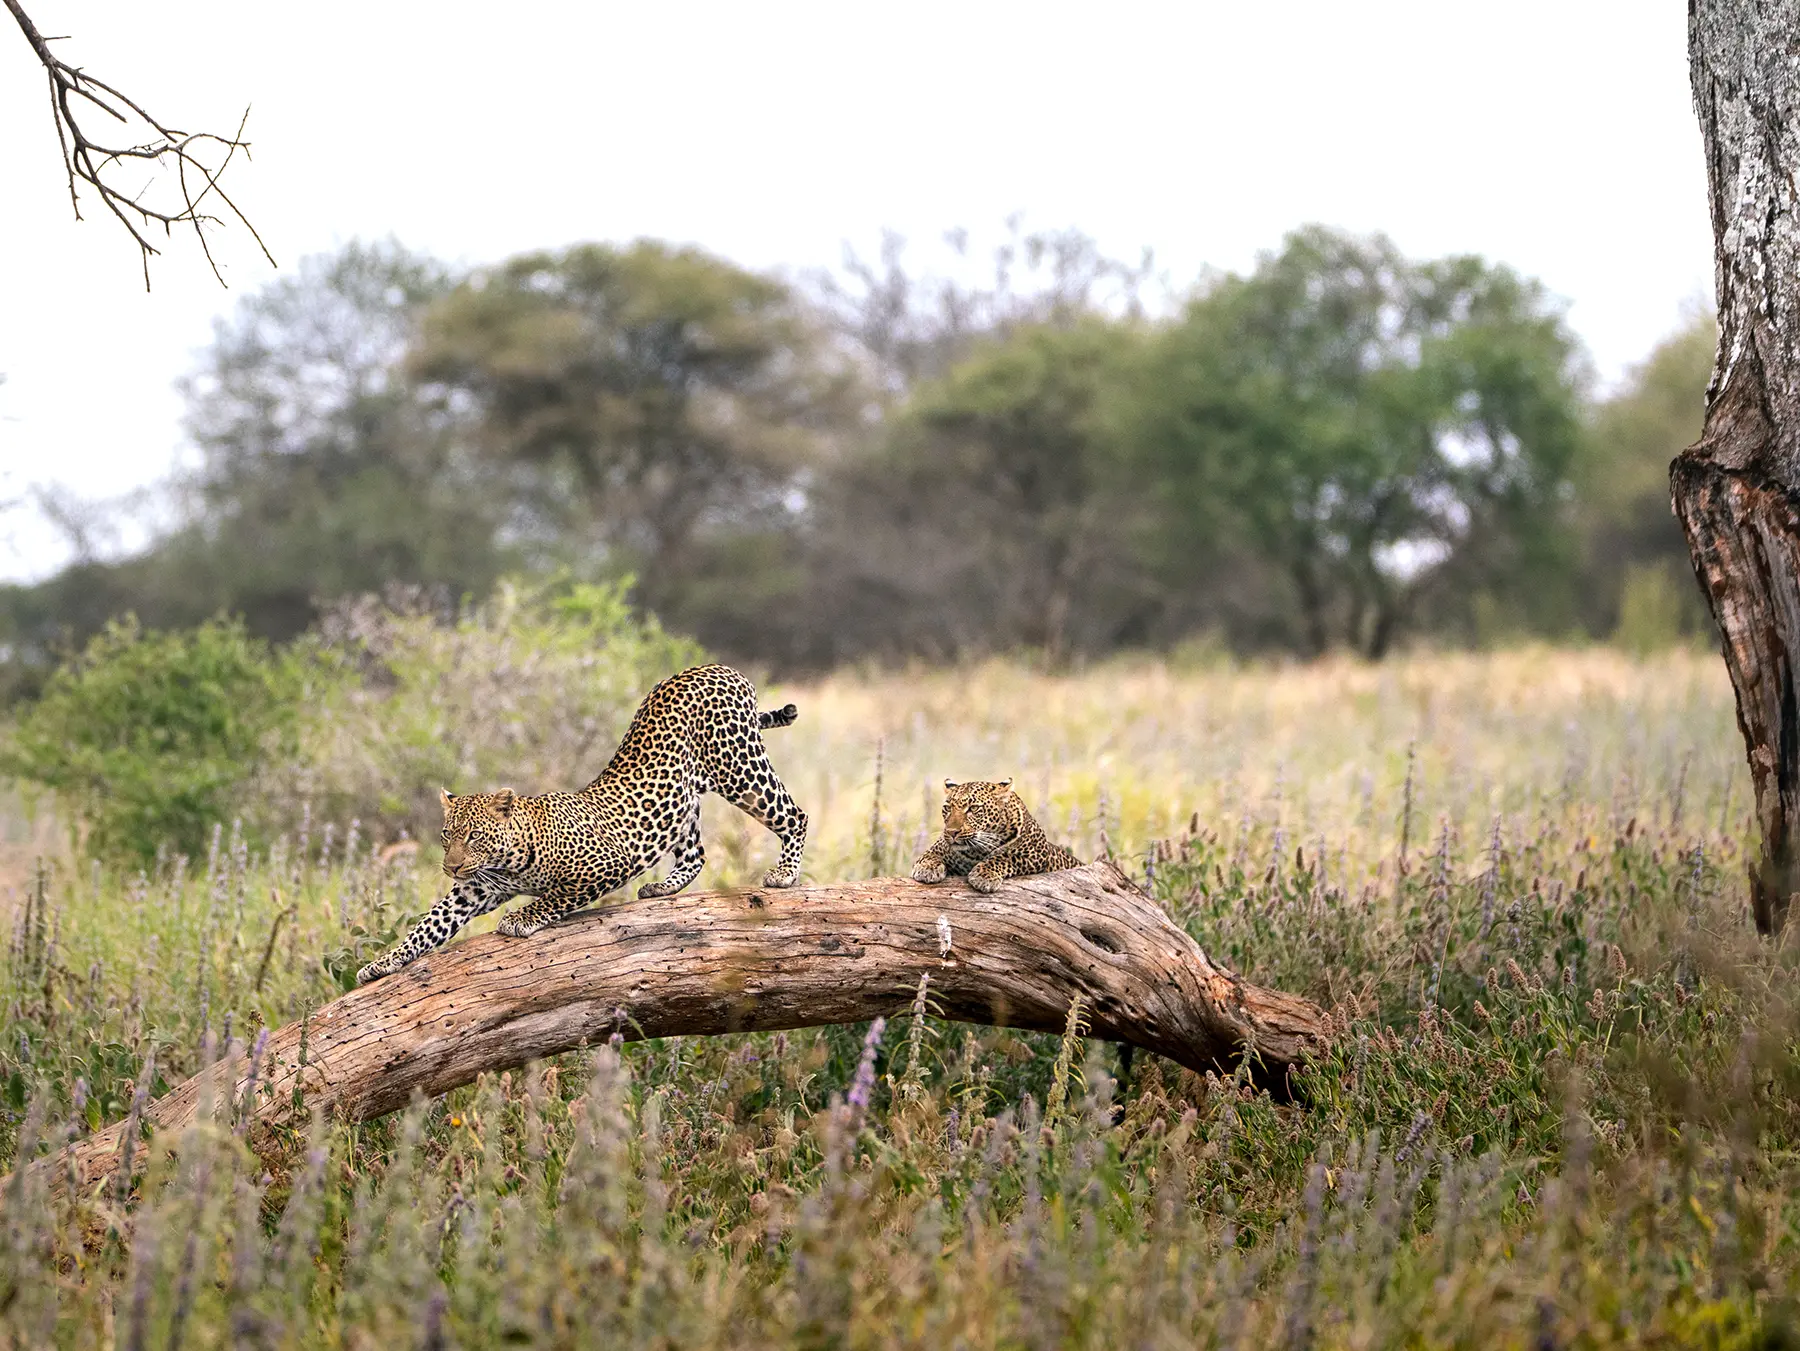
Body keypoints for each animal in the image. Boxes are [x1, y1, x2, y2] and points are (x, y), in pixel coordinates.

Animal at [356, 663, 807, 984]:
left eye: (475, 836)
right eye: (447, 835)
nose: (450, 867)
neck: (508, 861)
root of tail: (722, 668)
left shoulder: (605, 865)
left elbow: (555, 895)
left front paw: (521, 918)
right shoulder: (473, 890)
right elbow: (428, 925)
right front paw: (383, 963)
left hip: (738, 767)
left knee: (795, 815)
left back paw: (784, 874)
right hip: (683, 800)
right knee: (695, 853)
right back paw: (663, 887)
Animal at [909, 779, 1081, 893]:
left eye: (973, 808)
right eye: (947, 808)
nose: (952, 832)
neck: (975, 852)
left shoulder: (1036, 855)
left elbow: (1005, 856)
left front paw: (984, 876)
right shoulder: (940, 847)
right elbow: (929, 854)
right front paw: (927, 868)